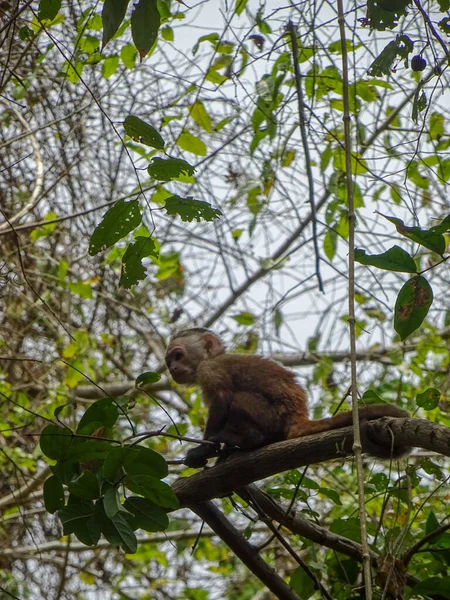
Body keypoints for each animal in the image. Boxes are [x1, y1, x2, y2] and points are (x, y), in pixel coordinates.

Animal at [163, 328, 410, 468]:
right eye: (169, 361)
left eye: (178, 355)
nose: (173, 369)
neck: (210, 359)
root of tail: (297, 416)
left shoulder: (210, 369)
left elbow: (222, 398)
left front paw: (205, 448)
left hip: (272, 416)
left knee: (238, 400)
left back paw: (249, 439)